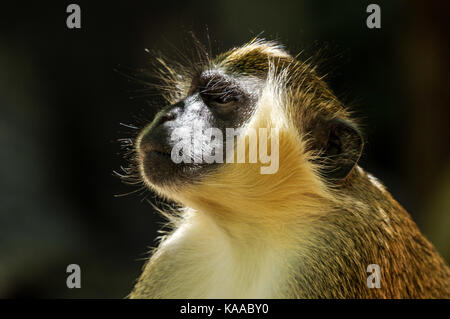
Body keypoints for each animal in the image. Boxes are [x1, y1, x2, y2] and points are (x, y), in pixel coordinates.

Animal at [125, 38, 450, 298]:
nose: (167, 115)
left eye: (222, 98)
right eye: (190, 92)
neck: (250, 235)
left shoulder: (337, 254)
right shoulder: (176, 257)